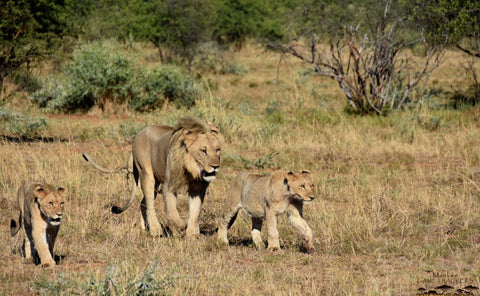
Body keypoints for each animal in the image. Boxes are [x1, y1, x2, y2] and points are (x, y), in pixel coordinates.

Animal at [83, 118, 223, 238]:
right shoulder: (168, 186)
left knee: (143, 203)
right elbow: (172, 212)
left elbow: (195, 211)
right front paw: (180, 227)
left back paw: (144, 228)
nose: (215, 166)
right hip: (147, 175)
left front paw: (192, 234)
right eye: (203, 151)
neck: (192, 170)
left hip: (155, 183)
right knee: (149, 203)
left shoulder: (198, 190)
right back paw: (155, 230)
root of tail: (139, 134)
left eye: (217, 150)